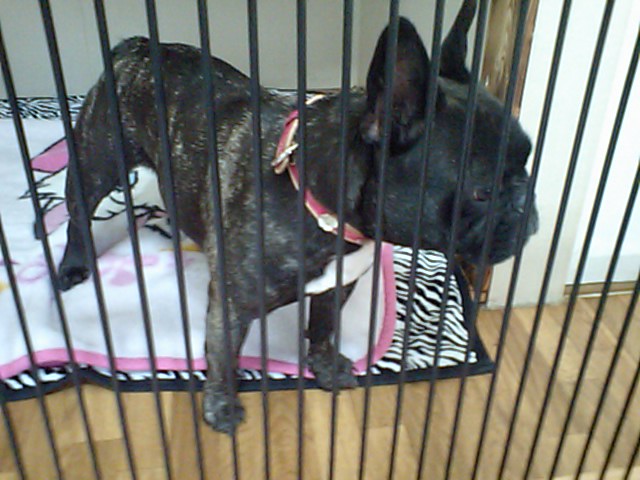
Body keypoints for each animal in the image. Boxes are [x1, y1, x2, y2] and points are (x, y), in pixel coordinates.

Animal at [57, 0, 538, 434]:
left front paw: (323, 367)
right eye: (483, 191)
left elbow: (323, 327)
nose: (527, 208)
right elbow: (224, 353)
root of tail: (137, 47)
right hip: (95, 162)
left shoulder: (337, 286)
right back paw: (72, 267)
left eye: (528, 163)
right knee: (78, 217)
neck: (323, 205)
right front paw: (221, 405)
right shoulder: (233, 303)